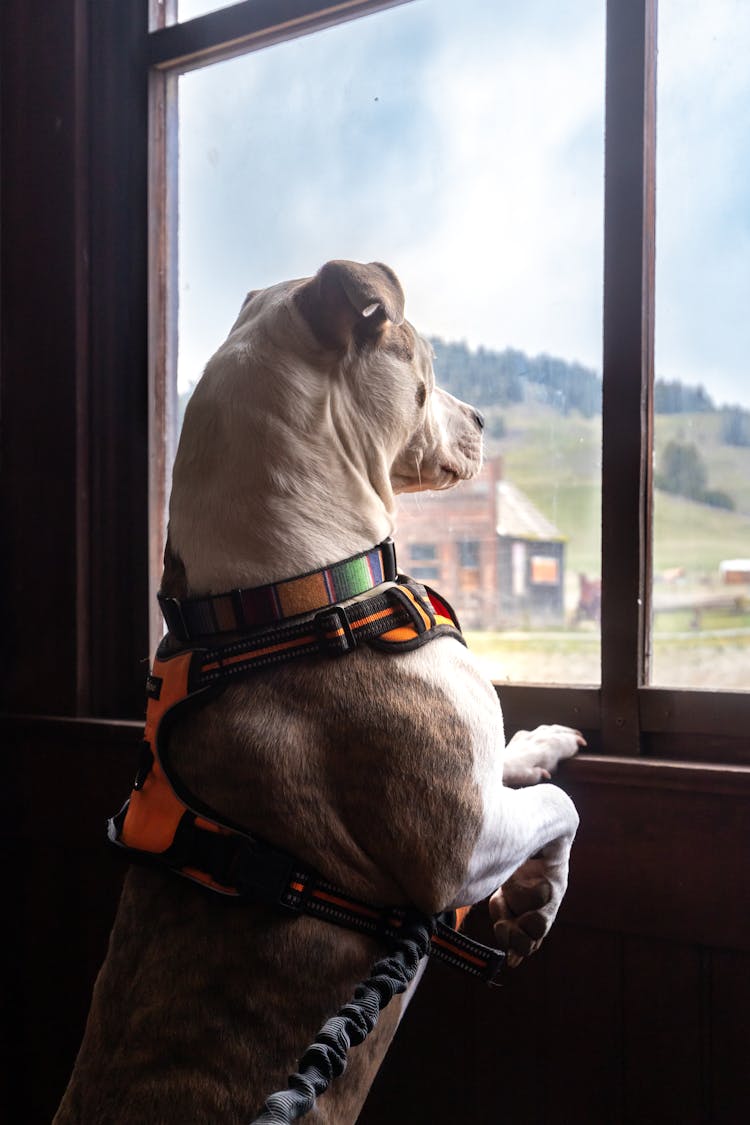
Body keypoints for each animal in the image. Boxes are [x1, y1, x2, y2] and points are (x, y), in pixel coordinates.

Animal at [55, 261, 584, 1125]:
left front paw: (543, 753)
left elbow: (514, 759)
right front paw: (544, 892)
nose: (479, 415)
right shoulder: (461, 843)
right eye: (424, 362)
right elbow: (562, 808)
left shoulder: (476, 775)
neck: (288, 599)